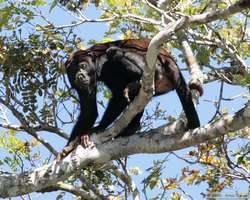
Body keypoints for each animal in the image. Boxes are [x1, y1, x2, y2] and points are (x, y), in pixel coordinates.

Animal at [63, 39, 202, 154]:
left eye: (83, 66)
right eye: (73, 72)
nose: (80, 76)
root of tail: (171, 62)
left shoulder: (105, 64)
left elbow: (118, 96)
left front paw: (97, 128)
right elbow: (89, 111)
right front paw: (70, 145)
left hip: (157, 66)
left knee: (114, 52)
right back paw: (132, 127)